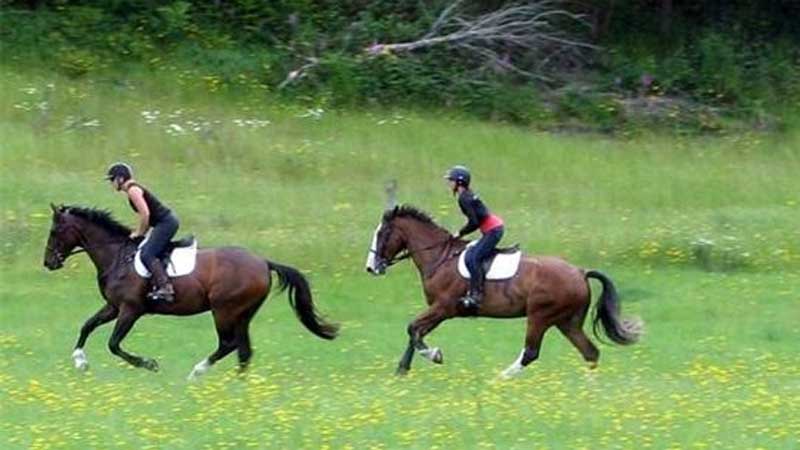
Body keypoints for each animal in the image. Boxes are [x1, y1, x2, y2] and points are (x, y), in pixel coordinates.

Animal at [43, 205, 338, 380]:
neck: (117, 256)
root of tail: (264, 262)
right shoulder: (114, 307)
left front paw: (149, 364)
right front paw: (80, 361)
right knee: (243, 350)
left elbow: (114, 344)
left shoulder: (130, 309)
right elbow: (86, 326)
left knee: (228, 344)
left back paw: (196, 373)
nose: (48, 262)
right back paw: (240, 388)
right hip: (243, 313)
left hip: (224, 310)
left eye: (55, 231)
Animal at [366, 206, 640, 378]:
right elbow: (415, 332)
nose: (371, 268)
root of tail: (580, 272)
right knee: (590, 352)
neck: (440, 256)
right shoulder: (441, 311)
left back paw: (499, 378)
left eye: (382, 234)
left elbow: (413, 328)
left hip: (540, 316)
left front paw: (435, 355)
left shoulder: (443, 307)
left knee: (531, 353)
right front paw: (402, 370)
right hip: (567, 321)